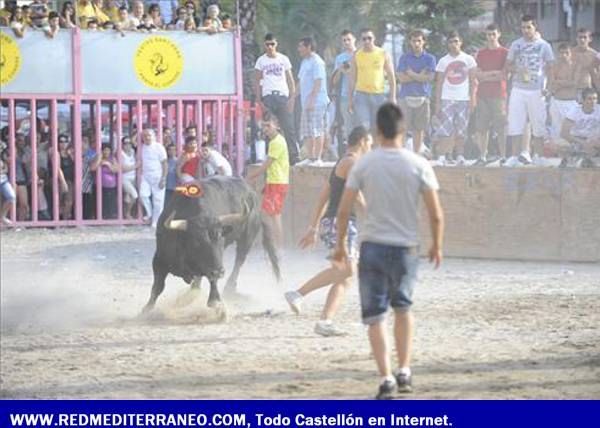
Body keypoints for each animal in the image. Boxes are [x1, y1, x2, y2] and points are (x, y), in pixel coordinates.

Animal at [143, 176, 282, 312]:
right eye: (197, 241)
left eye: (221, 238)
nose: (220, 272)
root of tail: (253, 193)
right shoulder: (159, 259)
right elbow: (157, 287)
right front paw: (146, 309)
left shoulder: (215, 263)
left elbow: (212, 280)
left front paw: (214, 300)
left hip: (247, 238)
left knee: (239, 260)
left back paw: (229, 287)